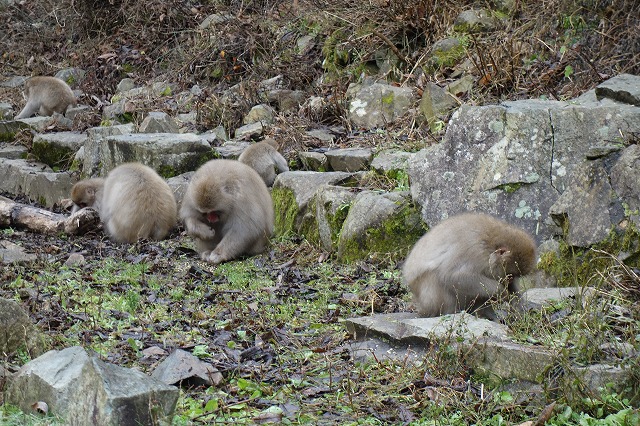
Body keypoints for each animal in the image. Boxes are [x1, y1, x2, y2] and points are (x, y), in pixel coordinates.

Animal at [402, 213, 537, 321]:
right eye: (510, 275)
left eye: (513, 277)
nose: (509, 280)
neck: (488, 246)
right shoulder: (473, 252)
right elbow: (452, 276)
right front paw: (501, 292)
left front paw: (518, 306)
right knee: (437, 278)